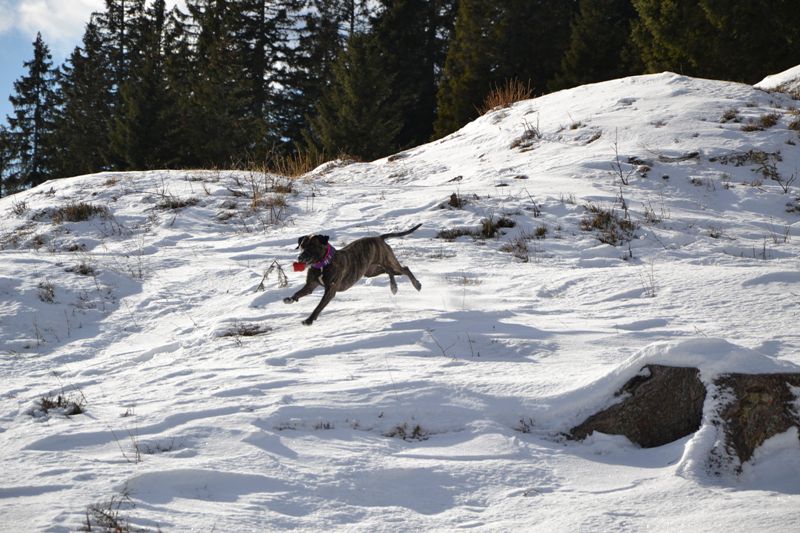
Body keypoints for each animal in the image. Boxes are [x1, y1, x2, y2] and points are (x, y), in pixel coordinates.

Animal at [286, 221, 424, 322]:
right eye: (302, 246)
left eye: (313, 246)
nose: (300, 257)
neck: (322, 264)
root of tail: (379, 238)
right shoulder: (310, 285)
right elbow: (299, 292)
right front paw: (291, 299)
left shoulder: (330, 290)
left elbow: (319, 306)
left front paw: (309, 320)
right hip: (371, 271)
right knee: (388, 271)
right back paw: (393, 287)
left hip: (389, 262)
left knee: (405, 269)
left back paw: (416, 284)